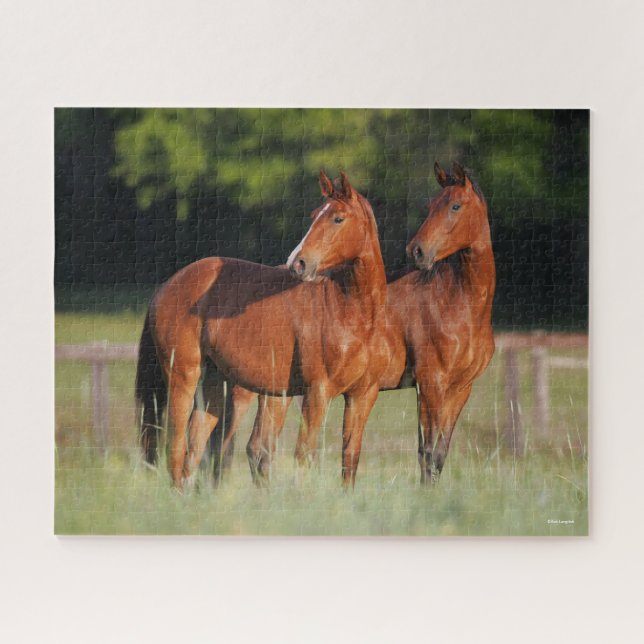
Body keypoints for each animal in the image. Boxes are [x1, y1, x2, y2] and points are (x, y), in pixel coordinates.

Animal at [135, 171, 392, 488]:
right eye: (314, 215)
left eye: (338, 218)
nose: (298, 263)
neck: (352, 313)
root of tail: (167, 286)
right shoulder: (317, 394)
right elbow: (303, 456)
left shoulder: (362, 396)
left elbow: (350, 460)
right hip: (183, 378)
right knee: (176, 449)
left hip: (214, 385)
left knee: (194, 451)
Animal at [215, 162, 495, 485]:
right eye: (429, 206)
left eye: (454, 205)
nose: (417, 251)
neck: (456, 304)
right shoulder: (430, 384)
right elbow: (426, 454)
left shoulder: (460, 389)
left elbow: (437, 456)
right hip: (246, 392)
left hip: (275, 392)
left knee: (256, 449)